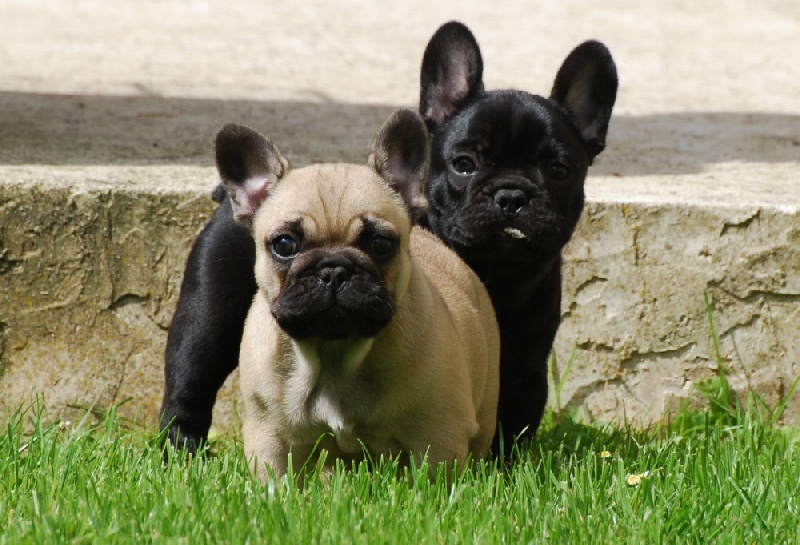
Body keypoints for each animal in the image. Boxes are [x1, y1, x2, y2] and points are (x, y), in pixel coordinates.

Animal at [212, 109, 500, 476]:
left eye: (380, 244)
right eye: (284, 244)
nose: (334, 270)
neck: (335, 353)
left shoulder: (438, 435)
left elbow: (433, 482)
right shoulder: (270, 438)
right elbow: (275, 479)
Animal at [418, 22, 620, 450]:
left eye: (558, 170)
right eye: (464, 164)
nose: (511, 195)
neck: (497, 276)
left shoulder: (526, 372)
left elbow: (513, 426)